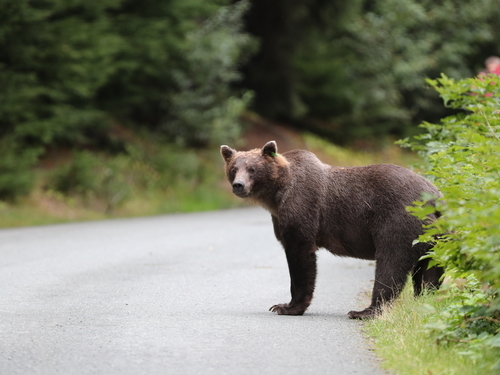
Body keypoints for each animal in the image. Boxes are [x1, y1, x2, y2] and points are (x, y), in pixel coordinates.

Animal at [221, 141, 444, 320]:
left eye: (252, 169)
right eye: (234, 168)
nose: (238, 185)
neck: (276, 196)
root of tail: (435, 195)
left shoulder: (302, 210)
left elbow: (300, 257)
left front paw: (286, 307)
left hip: (398, 221)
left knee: (391, 262)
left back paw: (364, 311)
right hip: (434, 236)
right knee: (430, 270)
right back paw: (423, 300)